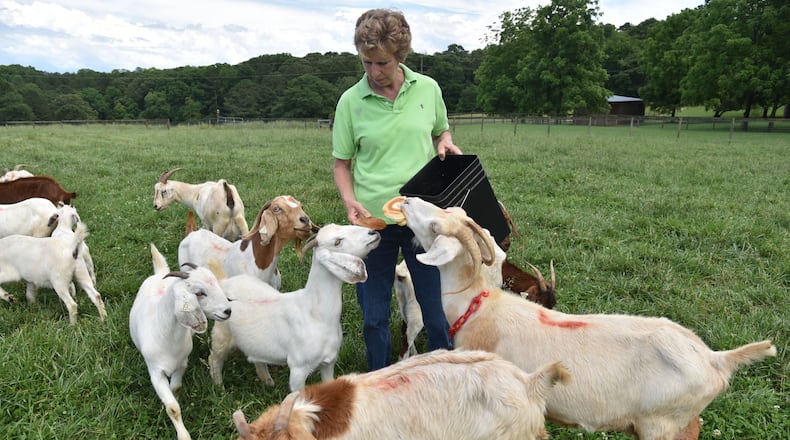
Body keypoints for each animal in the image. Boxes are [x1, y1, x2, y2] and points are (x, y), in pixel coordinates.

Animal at [129, 244, 232, 440]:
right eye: (200, 293)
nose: (228, 310)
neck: (166, 336)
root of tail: (160, 273)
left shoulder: (182, 363)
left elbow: (175, 388)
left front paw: (174, 396)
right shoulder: (155, 372)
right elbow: (172, 408)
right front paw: (183, 434)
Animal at [209, 224, 380, 391]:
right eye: (337, 242)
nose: (374, 233)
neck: (315, 313)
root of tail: (224, 281)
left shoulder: (328, 363)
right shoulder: (298, 368)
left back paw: (267, 381)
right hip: (222, 333)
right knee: (214, 359)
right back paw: (219, 388)